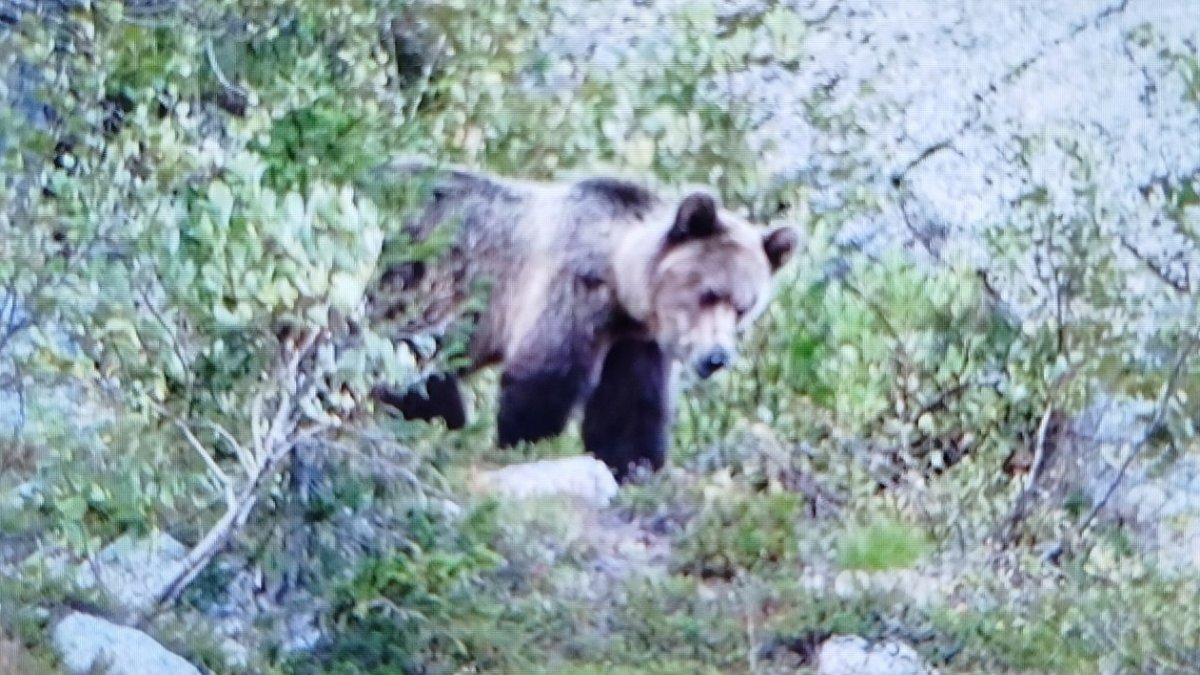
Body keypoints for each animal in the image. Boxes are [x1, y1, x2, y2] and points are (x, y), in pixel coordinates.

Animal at [364, 160, 799, 481]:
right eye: (709, 294)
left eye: (744, 306)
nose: (716, 357)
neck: (620, 281)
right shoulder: (570, 292)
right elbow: (544, 377)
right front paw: (525, 444)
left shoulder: (635, 341)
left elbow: (630, 407)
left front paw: (633, 465)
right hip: (410, 275)